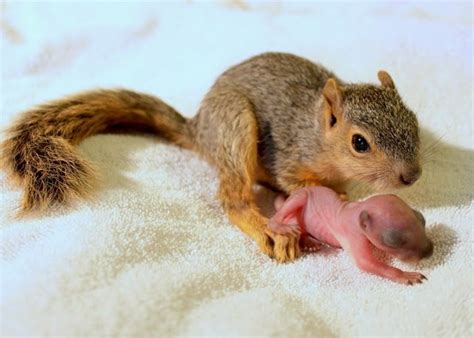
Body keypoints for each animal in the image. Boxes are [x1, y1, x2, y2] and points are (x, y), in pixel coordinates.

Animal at [0, 53, 422, 264]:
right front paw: (338, 199)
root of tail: (199, 128)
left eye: (414, 120)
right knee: (233, 198)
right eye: (359, 143)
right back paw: (266, 228)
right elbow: (297, 183)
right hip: (235, 123)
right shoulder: (288, 153)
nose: (412, 176)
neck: (317, 132)